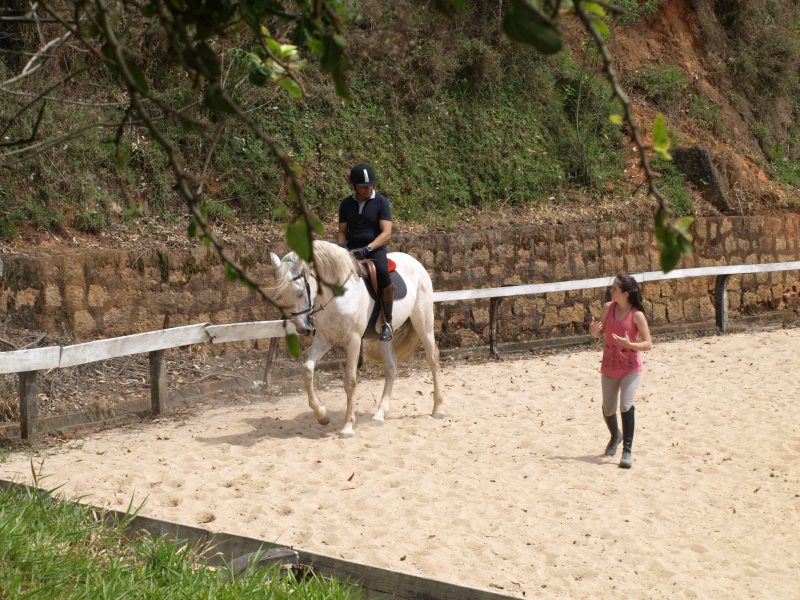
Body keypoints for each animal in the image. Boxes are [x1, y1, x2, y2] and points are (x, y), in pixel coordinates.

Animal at [268, 239, 444, 436]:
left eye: (299, 291)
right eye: (283, 296)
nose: (302, 328)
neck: (338, 294)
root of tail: (415, 262)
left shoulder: (353, 340)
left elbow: (350, 381)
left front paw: (347, 426)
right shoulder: (324, 338)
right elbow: (307, 370)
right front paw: (322, 415)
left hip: (424, 323)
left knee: (432, 359)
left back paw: (437, 408)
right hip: (383, 336)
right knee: (391, 366)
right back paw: (380, 414)